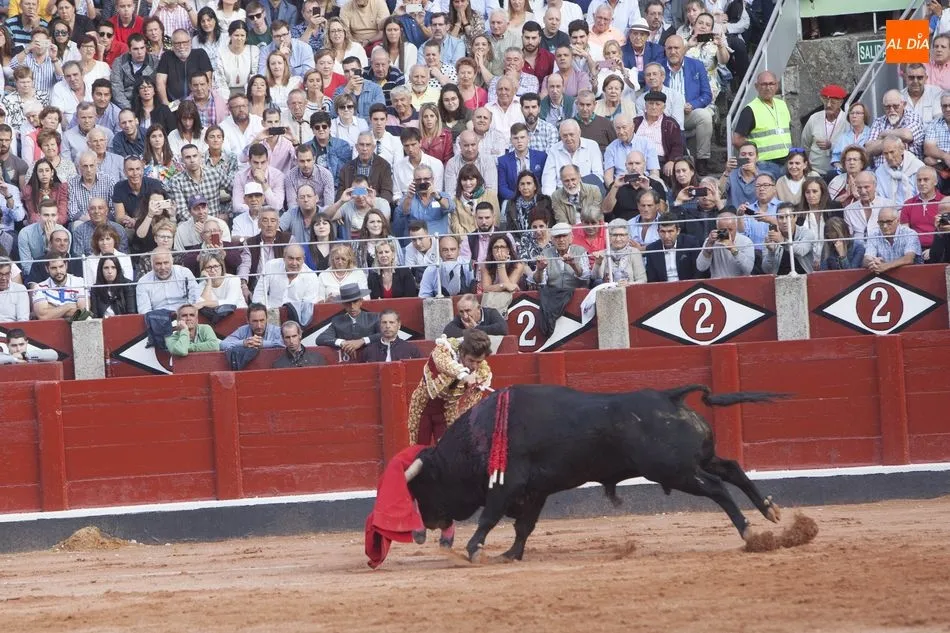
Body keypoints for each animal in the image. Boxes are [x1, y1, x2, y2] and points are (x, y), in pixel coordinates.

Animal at [404, 383, 783, 562]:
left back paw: (749, 530)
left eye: (425, 487)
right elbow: (524, 526)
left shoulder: (506, 484)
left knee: (718, 487)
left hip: (676, 471)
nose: (424, 530)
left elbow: (489, 517)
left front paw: (473, 549)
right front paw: (510, 555)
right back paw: (769, 510)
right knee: (732, 468)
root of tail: (669, 396)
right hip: (694, 462)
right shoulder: (536, 491)